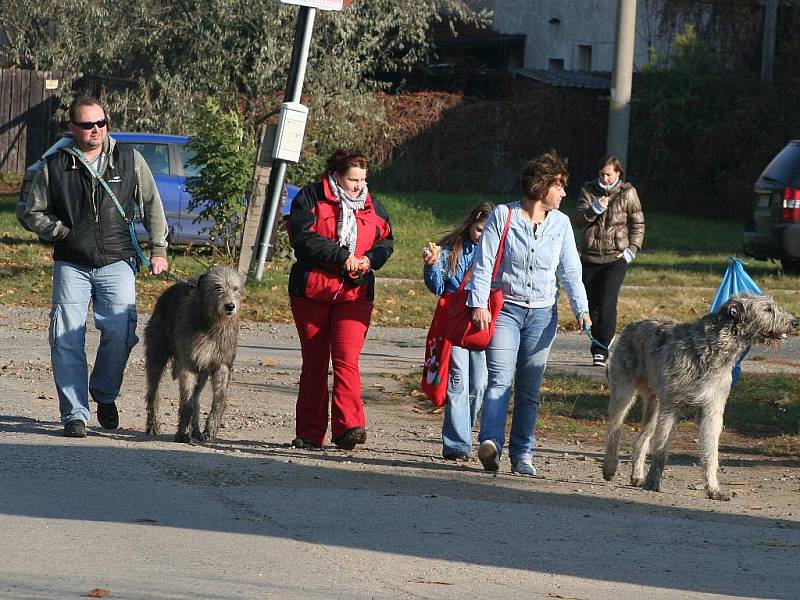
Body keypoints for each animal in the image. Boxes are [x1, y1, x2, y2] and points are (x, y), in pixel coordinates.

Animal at [144, 264, 244, 442]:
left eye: (235, 288)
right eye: (217, 287)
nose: (230, 306)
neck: (212, 325)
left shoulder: (222, 363)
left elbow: (218, 399)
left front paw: (211, 428)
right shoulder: (187, 364)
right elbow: (186, 403)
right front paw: (182, 433)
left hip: (202, 371)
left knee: (196, 398)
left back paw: (196, 431)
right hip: (156, 352)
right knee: (153, 392)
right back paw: (153, 425)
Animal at [604, 296, 796, 502]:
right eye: (767, 309)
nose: (794, 322)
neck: (713, 348)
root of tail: (634, 323)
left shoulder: (712, 409)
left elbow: (711, 452)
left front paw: (714, 489)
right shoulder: (670, 407)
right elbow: (661, 449)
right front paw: (653, 481)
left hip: (655, 402)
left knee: (641, 438)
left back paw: (637, 475)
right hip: (624, 391)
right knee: (614, 429)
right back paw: (610, 467)